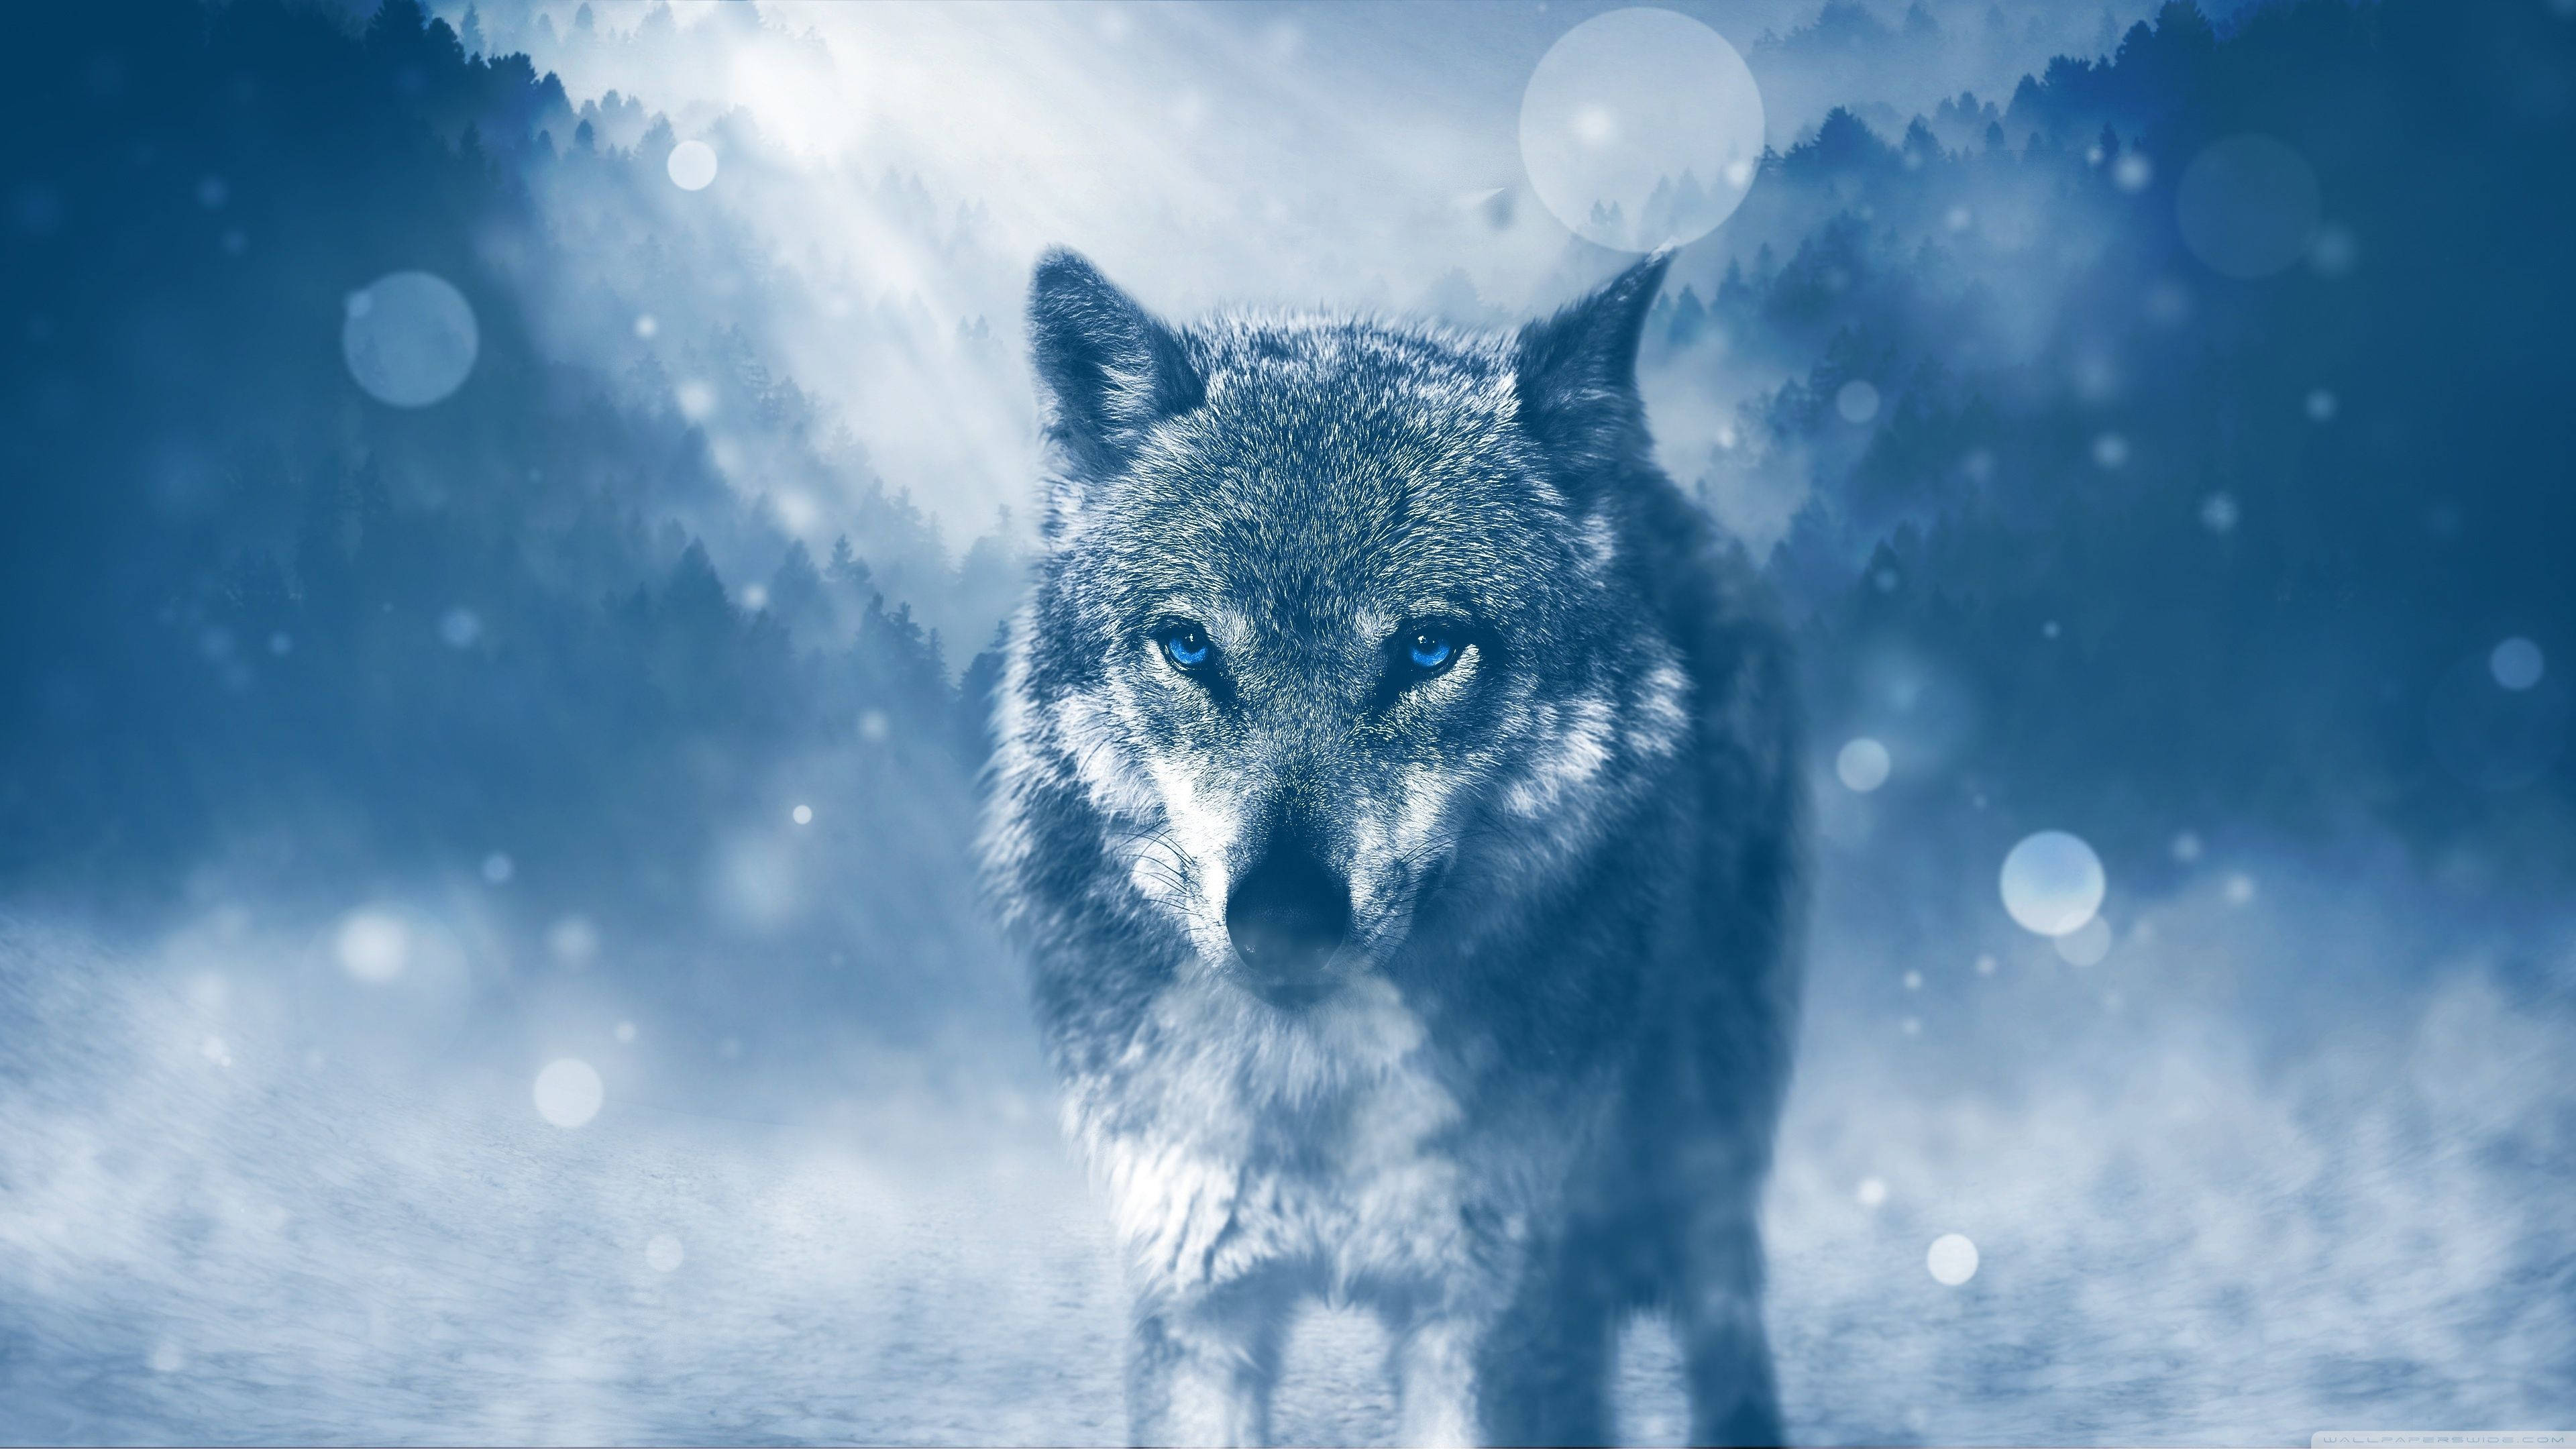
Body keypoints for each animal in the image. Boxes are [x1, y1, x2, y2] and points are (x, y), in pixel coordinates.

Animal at [978, 246, 1804, 1448]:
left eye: (1427, 648)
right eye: (1189, 646)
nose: (1282, 920)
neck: (1315, 1092)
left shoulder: (1491, 1313)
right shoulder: (1198, 1299)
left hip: (1704, 1139)